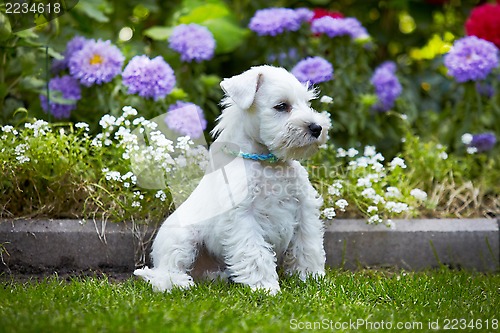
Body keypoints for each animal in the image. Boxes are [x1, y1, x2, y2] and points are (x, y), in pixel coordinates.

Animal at [135, 65, 332, 294]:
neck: (268, 163)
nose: (317, 128)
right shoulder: (244, 217)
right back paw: (180, 282)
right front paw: (265, 287)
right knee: (164, 272)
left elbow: (307, 246)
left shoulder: (304, 209)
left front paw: (312, 277)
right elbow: (255, 253)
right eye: (282, 106)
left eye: (308, 103)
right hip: (181, 239)